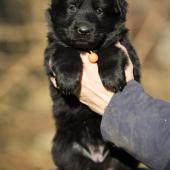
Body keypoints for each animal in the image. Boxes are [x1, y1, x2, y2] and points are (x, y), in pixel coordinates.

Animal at [43, 0, 141, 169]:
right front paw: (68, 79)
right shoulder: (51, 51)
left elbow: (110, 48)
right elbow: (64, 50)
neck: (86, 50)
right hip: (66, 152)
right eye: (72, 7)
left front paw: (113, 77)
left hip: (123, 158)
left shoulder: (127, 51)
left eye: (99, 10)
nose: (84, 30)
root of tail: (97, 155)